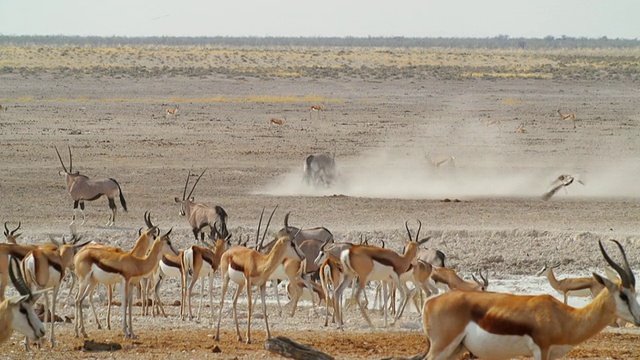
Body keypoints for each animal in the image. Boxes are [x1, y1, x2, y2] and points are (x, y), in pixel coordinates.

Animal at [215, 210, 304, 344]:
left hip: (240, 285)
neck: (259, 263)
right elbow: (250, 305)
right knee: (221, 301)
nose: (303, 256)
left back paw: (239, 336)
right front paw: (248, 338)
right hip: (226, 279)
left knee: (234, 301)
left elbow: (264, 307)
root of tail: (227, 252)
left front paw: (269, 335)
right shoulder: (248, 282)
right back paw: (217, 336)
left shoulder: (262, 285)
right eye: (292, 243)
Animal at [420, 239, 640, 360]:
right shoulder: (541, 351)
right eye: (623, 295)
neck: (563, 317)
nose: (638, 319)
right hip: (441, 348)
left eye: (635, 293)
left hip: (455, 349)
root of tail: (430, 303)